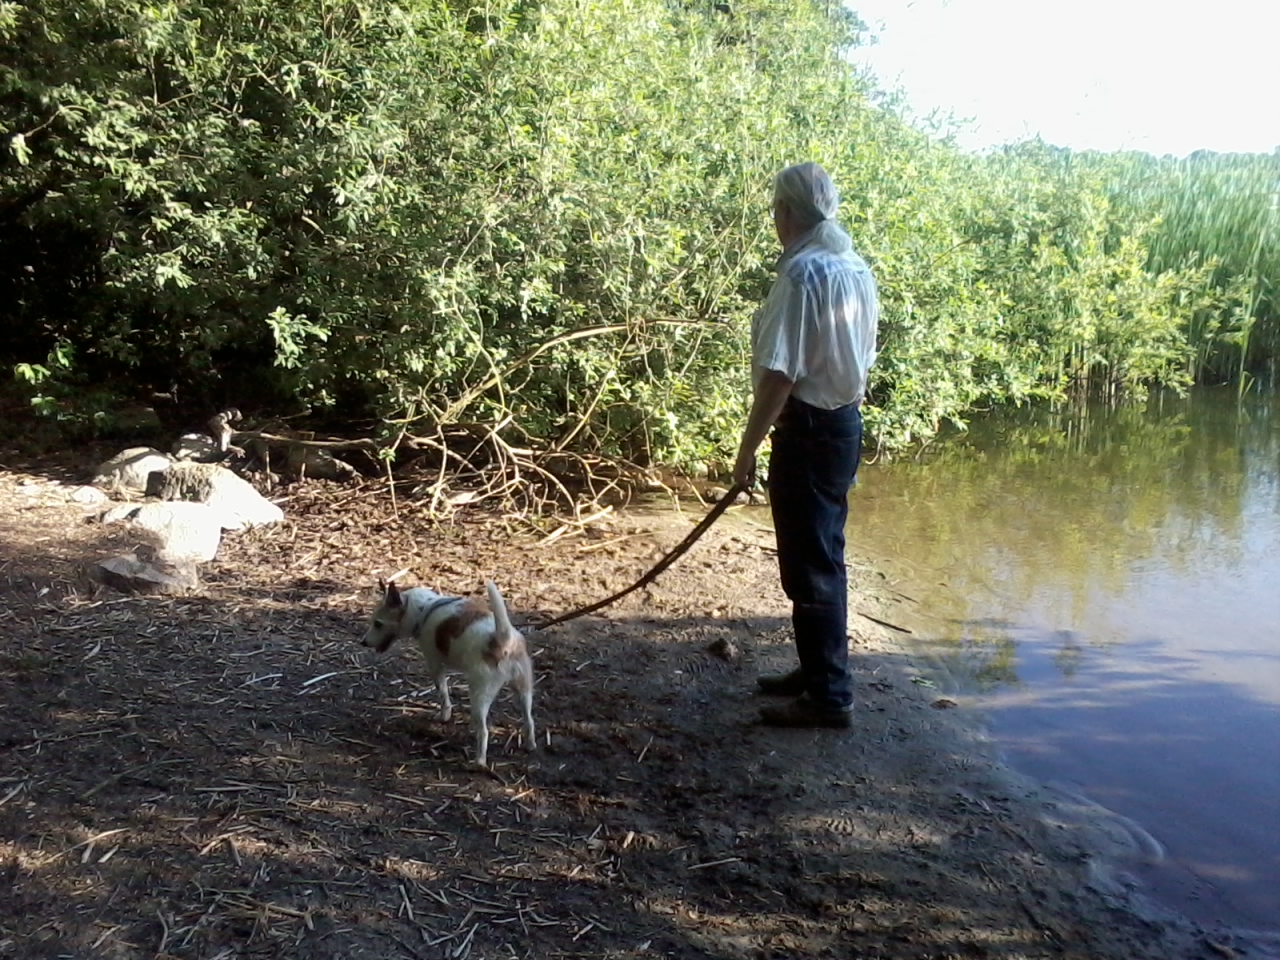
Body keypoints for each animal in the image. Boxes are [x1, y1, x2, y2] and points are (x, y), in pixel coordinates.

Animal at [361, 579, 536, 768]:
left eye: (378, 623)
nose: (363, 642)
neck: (425, 609)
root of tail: (503, 640)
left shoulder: (435, 666)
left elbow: (443, 694)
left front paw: (444, 716)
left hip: (479, 694)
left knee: (483, 732)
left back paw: (479, 762)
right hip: (524, 691)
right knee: (529, 720)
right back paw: (530, 745)